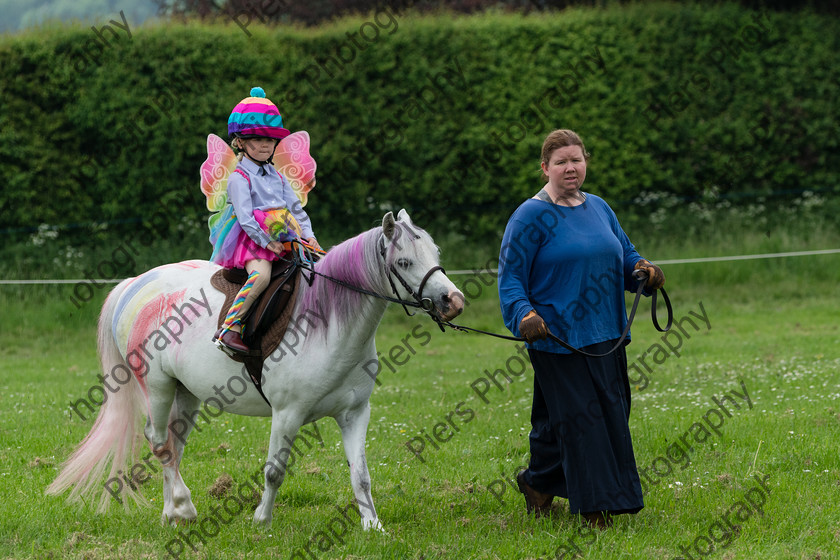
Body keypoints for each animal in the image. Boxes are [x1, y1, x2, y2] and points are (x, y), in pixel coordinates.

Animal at [47, 210, 466, 528]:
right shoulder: (287, 413)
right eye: (404, 262)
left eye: (435, 251)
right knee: (159, 441)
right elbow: (274, 471)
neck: (329, 324)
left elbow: (360, 475)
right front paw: (262, 521)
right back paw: (184, 506)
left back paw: (171, 514)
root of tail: (135, 283)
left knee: (174, 445)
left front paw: (372, 525)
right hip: (158, 387)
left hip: (186, 393)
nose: (454, 301)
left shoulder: (354, 413)